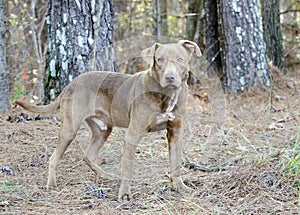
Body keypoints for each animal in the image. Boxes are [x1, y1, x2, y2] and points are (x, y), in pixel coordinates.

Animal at [15, 40, 200, 200]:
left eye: (180, 59)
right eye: (160, 60)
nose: (170, 77)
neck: (166, 94)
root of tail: (71, 84)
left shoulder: (175, 132)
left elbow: (175, 162)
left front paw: (180, 187)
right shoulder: (133, 134)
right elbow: (127, 167)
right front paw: (124, 194)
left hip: (102, 130)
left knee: (88, 156)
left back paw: (105, 175)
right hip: (70, 129)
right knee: (54, 158)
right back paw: (52, 185)